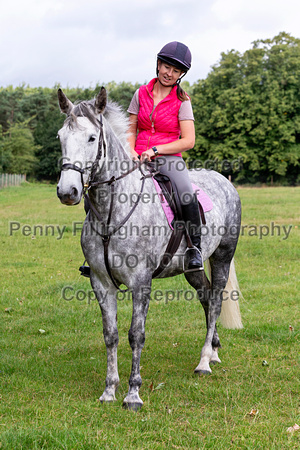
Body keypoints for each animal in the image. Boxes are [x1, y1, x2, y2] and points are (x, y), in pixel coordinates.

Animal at [56, 88, 243, 412]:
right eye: (60, 137)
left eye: (92, 138)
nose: (68, 192)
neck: (111, 211)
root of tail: (224, 181)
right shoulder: (101, 283)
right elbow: (110, 335)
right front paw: (109, 390)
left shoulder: (140, 282)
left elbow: (136, 335)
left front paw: (133, 394)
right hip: (191, 268)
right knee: (206, 297)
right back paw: (214, 350)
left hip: (222, 257)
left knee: (217, 300)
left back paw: (204, 362)